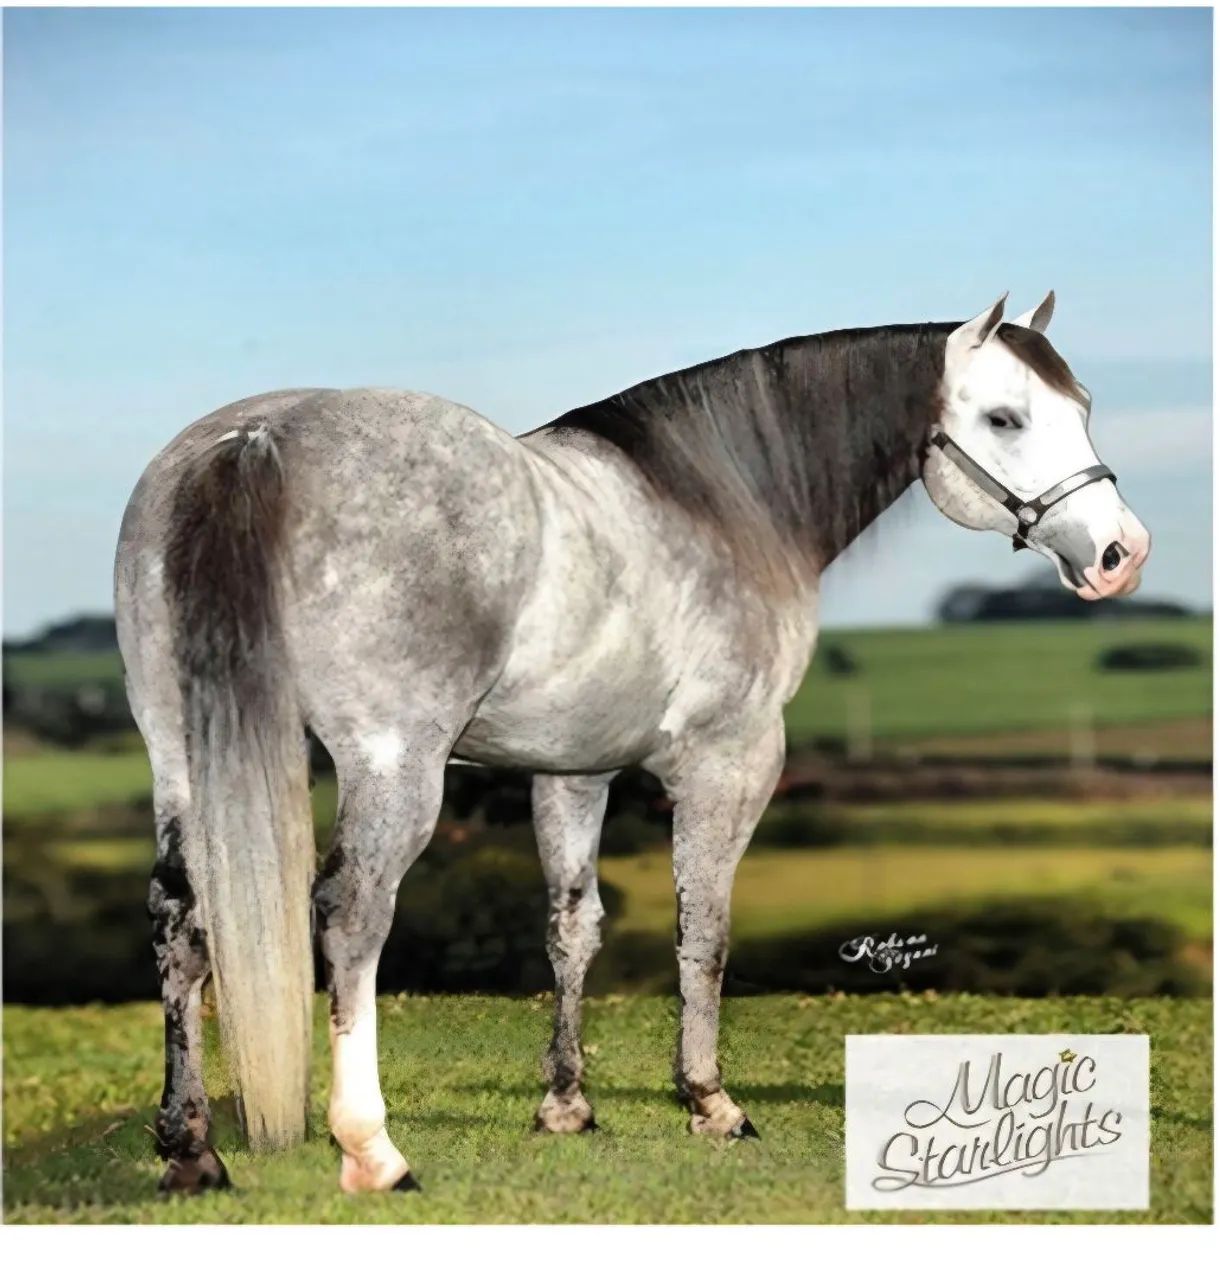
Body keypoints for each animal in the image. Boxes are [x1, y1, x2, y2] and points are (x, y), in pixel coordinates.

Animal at [114, 291, 1150, 1194]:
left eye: (1083, 408)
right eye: (1006, 418)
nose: (1120, 554)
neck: (724, 500)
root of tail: (255, 439)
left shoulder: (572, 773)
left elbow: (574, 928)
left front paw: (566, 1106)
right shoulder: (731, 763)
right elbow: (706, 930)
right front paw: (711, 1103)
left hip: (178, 751)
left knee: (180, 913)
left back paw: (191, 1150)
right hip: (392, 761)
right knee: (351, 913)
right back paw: (372, 1151)